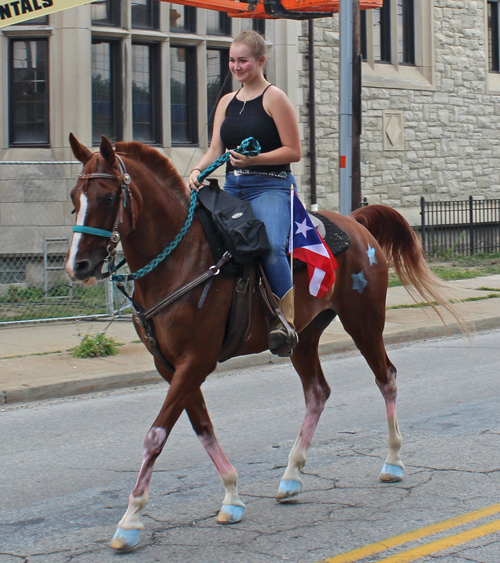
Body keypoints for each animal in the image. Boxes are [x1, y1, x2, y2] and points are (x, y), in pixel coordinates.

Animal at [65, 135, 460, 552]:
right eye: (74, 196)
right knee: (318, 392)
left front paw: (130, 520)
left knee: (387, 378)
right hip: (304, 338)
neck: (179, 261)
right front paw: (232, 497)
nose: (77, 266)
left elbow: (156, 435)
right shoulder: (171, 366)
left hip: (364, 322)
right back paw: (291, 477)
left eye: (108, 196)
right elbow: (202, 428)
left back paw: (393, 462)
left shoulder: (196, 361)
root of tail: (356, 222)